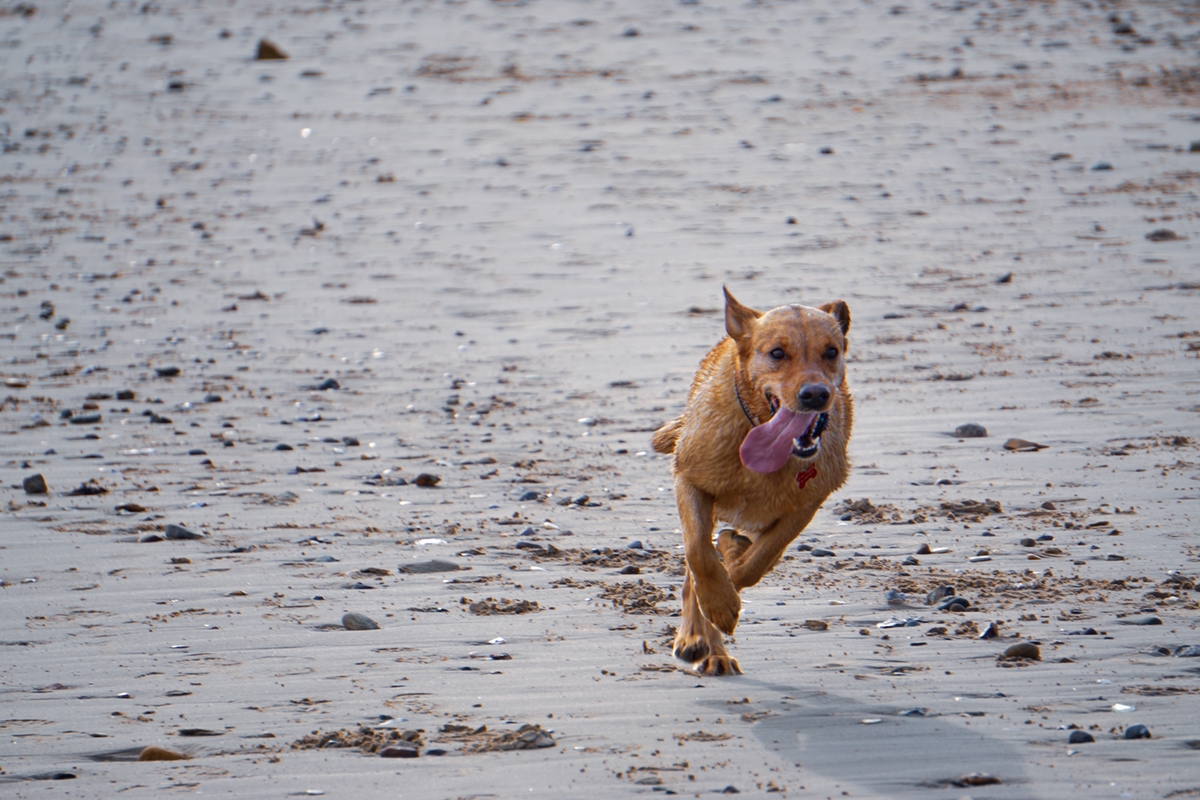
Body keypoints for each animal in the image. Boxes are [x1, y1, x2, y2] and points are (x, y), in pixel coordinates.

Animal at [651, 287, 853, 676]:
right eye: (777, 353)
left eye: (831, 352)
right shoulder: (689, 479)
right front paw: (718, 603)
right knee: (692, 569)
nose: (816, 394)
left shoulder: (806, 503)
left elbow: (757, 562)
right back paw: (698, 641)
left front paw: (732, 570)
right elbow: (699, 553)